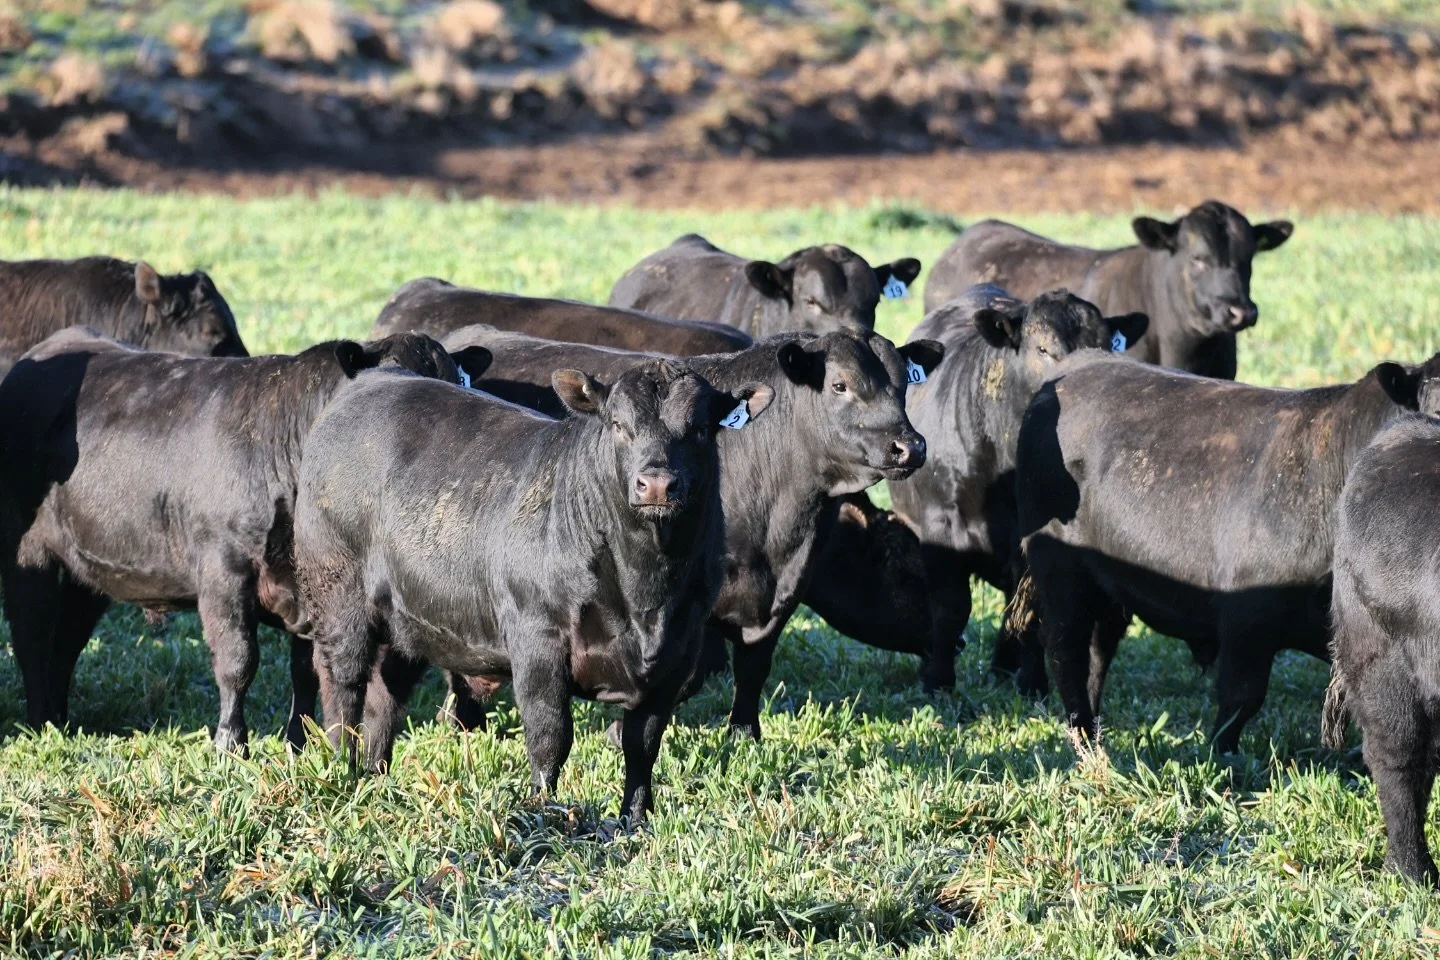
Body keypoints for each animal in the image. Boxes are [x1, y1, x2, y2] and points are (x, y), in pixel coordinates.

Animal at [0, 326, 487, 752]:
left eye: (459, 384)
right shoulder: (223, 567)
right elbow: (238, 661)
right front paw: (231, 743)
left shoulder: (312, 584)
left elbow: (305, 670)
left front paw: (298, 743)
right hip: (25, 549)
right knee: (32, 633)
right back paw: (41, 721)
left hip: (90, 569)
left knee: (66, 640)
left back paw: (61, 717)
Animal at [293, 358, 773, 823]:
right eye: (618, 424)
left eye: (700, 428)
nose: (656, 483)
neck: (645, 593)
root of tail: (374, 378)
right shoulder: (537, 638)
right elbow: (550, 737)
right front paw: (544, 810)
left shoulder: (677, 655)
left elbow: (643, 745)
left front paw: (634, 819)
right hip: (337, 598)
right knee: (342, 686)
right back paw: (341, 768)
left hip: (406, 621)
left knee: (384, 696)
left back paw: (375, 774)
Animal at [439, 323, 944, 738]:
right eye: (840, 385)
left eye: (903, 386)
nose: (910, 446)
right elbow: (690, 675)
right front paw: (618, 731)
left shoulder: (780, 597)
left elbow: (753, 668)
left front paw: (744, 735)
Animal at [888, 285, 1148, 693]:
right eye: (1042, 349)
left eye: (1107, 346)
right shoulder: (939, 526)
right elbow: (950, 606)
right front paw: (937, 681)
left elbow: (1031, 614)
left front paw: (1032, 682)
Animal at [1014, 352, 1439, 753]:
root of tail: (1079, 364)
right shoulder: (1247, 617)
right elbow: (1241, 699)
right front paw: (1223, 757)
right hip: (1059, 574)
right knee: (1067, 652)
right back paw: (1084, 738)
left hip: (1108, 586)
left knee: (1097, 654)